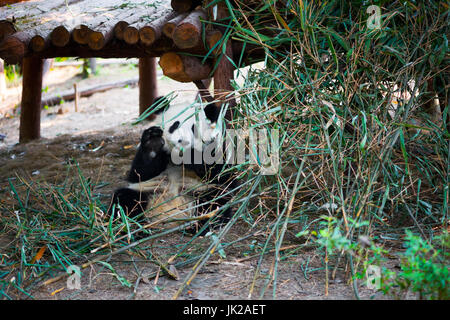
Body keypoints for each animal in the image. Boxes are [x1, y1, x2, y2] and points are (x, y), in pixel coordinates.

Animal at [109, 96, 234, 234]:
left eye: (194, 129)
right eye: (175, 125)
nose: (183, 141)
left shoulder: (217, 149)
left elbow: (220, 174)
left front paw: (191, 155)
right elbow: (139, 173)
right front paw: (153, 143)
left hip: (200, 190)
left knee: (215, 201)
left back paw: (200, 225)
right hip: (145, 190)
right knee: (124, 201)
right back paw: (131, 228)